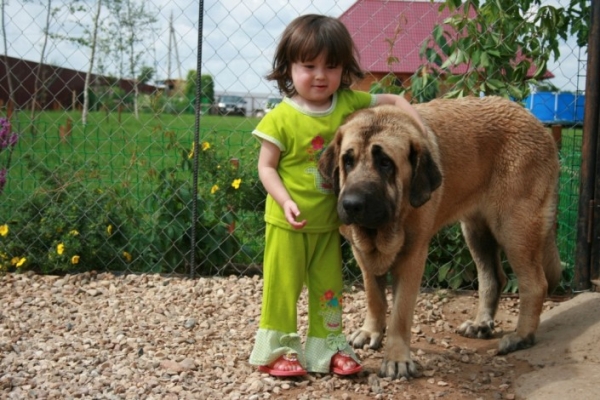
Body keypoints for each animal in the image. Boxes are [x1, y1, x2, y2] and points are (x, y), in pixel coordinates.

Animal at [318, 96, 564, 378]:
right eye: (347, 161)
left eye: (385, 163)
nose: (351, 204)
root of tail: (535, 121)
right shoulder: (362, 254)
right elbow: (374, 296)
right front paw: (371, 331)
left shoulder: (413, 257)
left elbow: (400, 313)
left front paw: (397, 359)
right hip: (476, 232)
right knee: (493, 278)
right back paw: (481, 324)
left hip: (514, 228)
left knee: (535, 284)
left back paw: (521, 337)